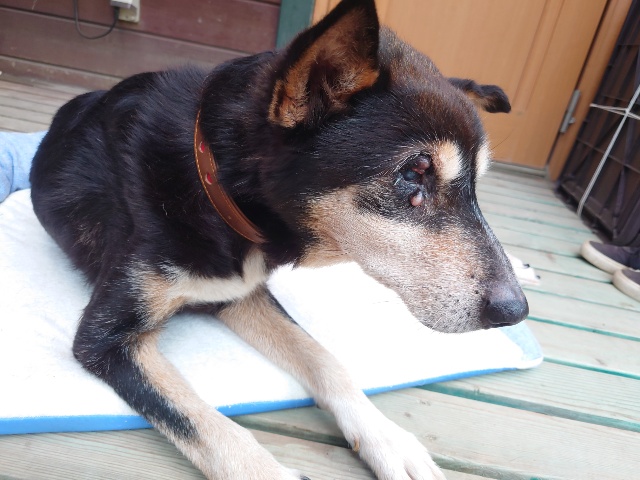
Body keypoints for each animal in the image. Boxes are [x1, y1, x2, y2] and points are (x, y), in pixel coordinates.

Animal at [29, 0, 528, 478]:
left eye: (477, 186)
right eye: (414, 173)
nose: (516, 312)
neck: (212, 185)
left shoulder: (239, 293)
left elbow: (326, 360)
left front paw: (388, 441)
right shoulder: (106, 340)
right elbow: (205, 423)